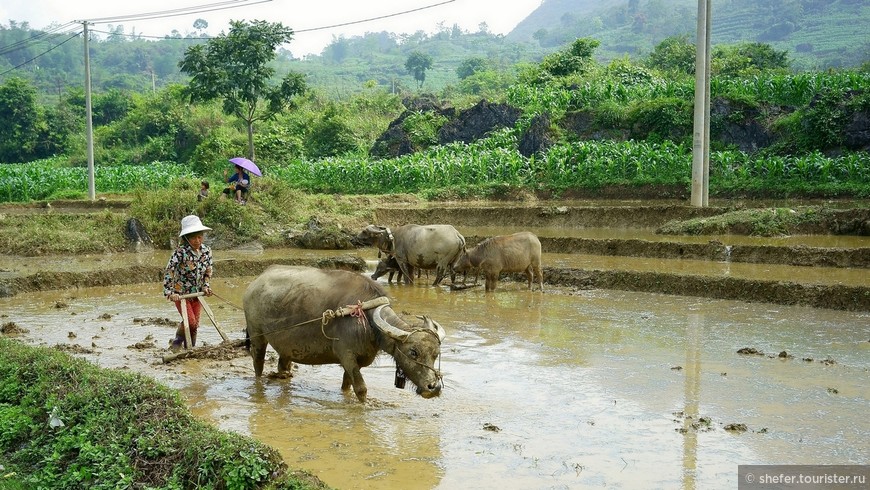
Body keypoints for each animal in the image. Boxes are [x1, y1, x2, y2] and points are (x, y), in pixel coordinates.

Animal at [245, 266, 450, 400]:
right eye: (413, 352)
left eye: (435, 354)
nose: (433, 387)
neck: (367, 319)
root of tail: (255, 283)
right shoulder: (347, 355)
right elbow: (361, 389)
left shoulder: (356, 361)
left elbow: (347, 385)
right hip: (256, 335)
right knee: (258, 363)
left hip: (286, 345)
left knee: (283, 366)